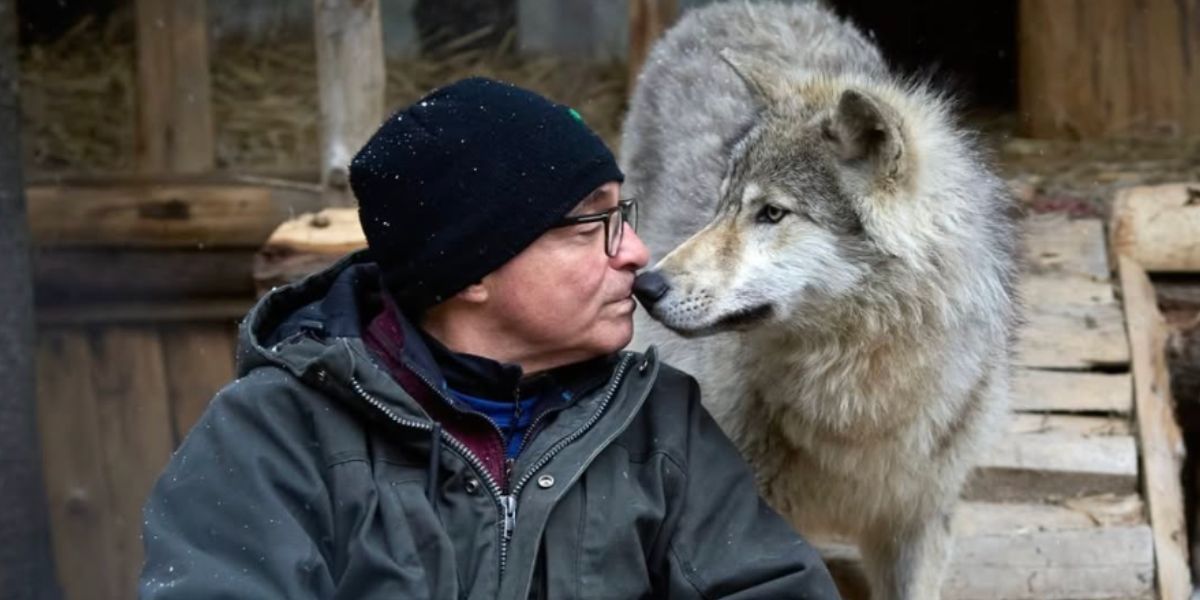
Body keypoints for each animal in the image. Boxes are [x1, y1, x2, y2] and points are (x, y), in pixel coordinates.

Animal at [621, 2, 1021, 599]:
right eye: (721, 205)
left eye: (771, 213)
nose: (647, 287)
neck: (858, 406)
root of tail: (744, 7)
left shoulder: (919, 526)